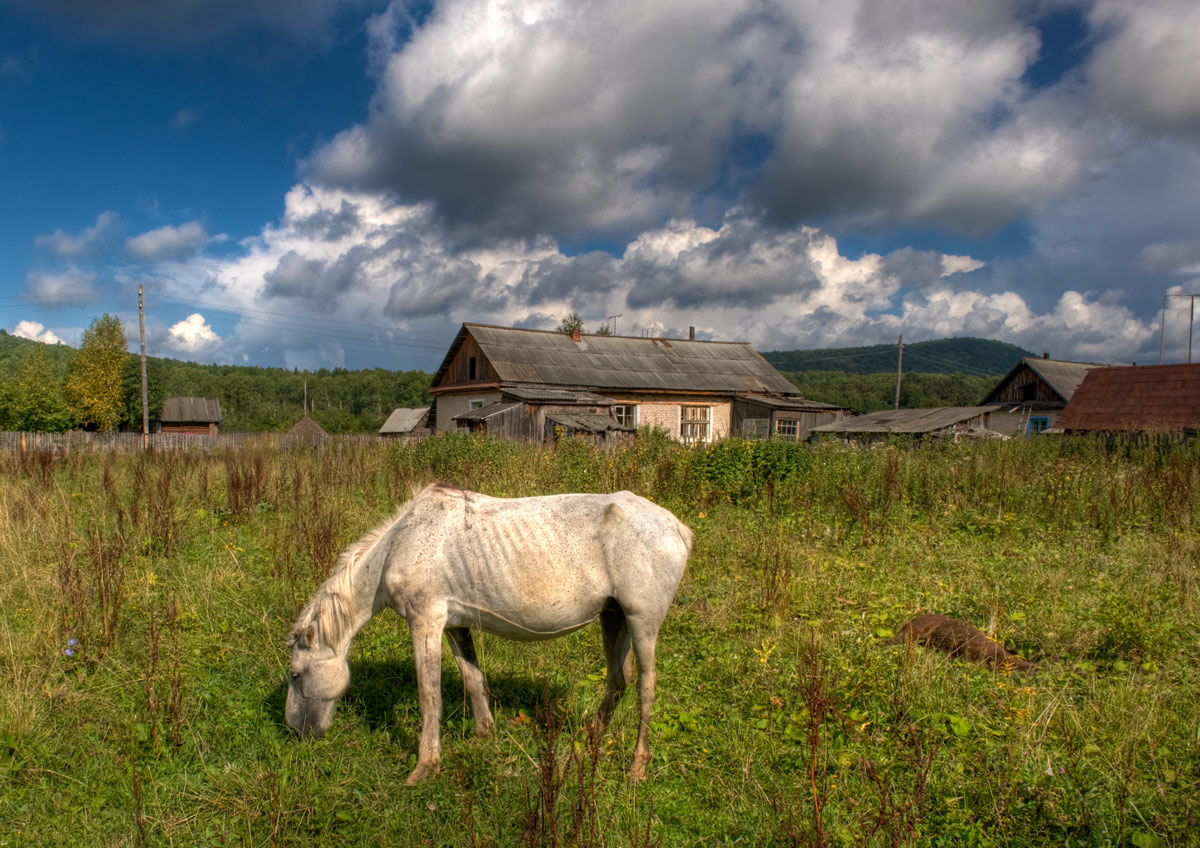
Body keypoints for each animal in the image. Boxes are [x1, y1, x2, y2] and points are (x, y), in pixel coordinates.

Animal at [285, 482, 696, 786]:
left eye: (295, 675)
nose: (295, 733)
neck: (398, 545)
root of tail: (677, 527)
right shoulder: (455, 625)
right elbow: (472, 678)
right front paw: (484, 735)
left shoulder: (425, 622)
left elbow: (429, 695)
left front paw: (425, 767)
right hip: (614, 617)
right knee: (617, 679)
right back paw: (592, 738)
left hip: (642, 621)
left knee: (645, 686)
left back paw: (637, 768)